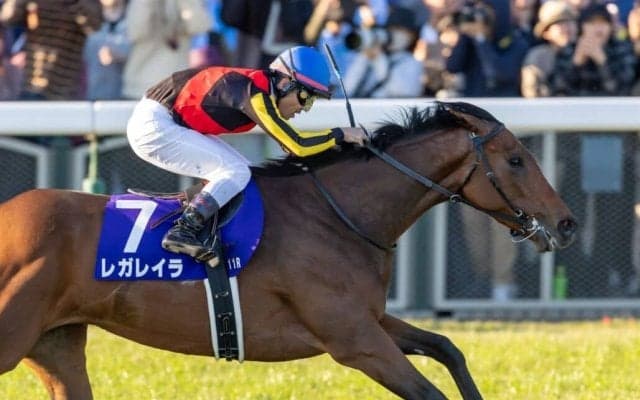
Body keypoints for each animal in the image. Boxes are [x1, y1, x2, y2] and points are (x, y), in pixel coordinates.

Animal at [0, 101, 576, 399]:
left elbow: (446, 347)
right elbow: (429, 391)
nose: (567, 224)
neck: (337, 215)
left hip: (56, 346)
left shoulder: (366, 320)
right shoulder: (354, 340)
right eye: (516, 159)